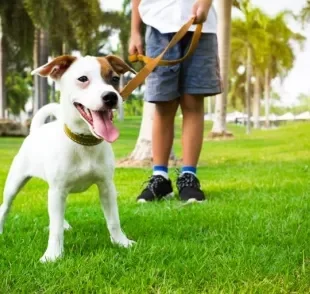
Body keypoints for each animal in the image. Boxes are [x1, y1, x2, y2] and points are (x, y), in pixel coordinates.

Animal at [0, 54, 136, 262]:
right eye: (83, 79)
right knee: (5, 206)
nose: (111, 96)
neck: (84, 143)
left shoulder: (106, 187)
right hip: (15, 182)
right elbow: (55, 229)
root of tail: (35, 130)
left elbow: (113, 220)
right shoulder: (58, 190)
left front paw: (121, 242)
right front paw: (53, 255)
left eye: (114, 79)